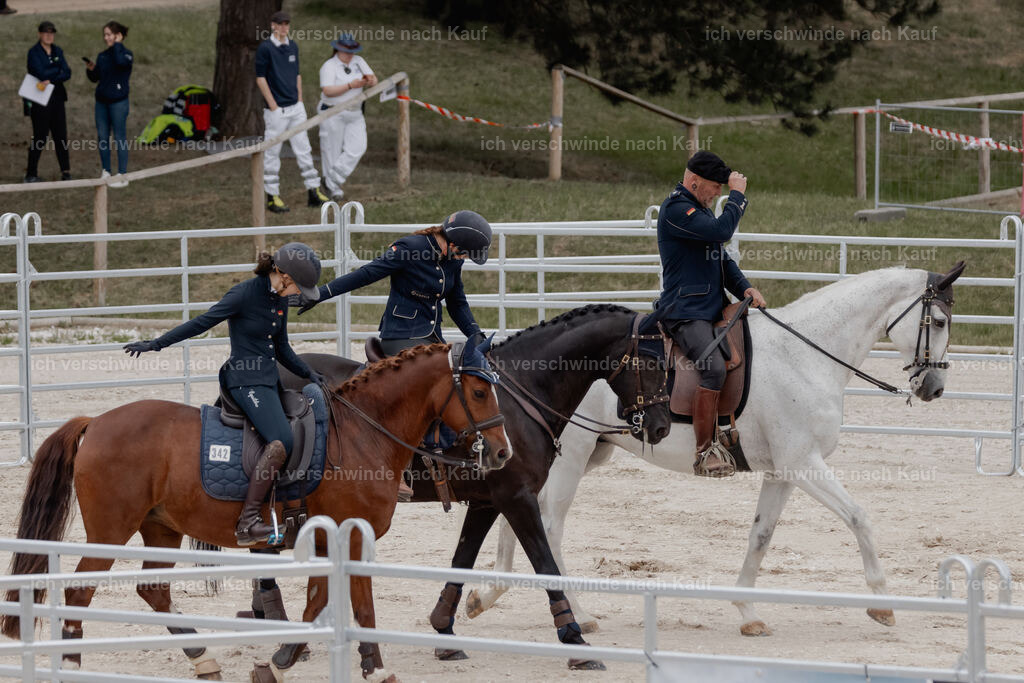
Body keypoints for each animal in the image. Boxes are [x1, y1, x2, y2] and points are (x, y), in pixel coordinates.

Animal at [2, 343, 510, 682]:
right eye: (479, 392)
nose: (503, 451)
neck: (363, 430)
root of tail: (96, 422)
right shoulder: (349, 535)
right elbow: (357, 604)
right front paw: (355, 665)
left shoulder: (329, 540)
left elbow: (322, 602)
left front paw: (295, 661)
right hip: (111, 532)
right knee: (79, 593)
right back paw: (72, 663)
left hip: (160, 529)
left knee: (153, 590)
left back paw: (203, 658)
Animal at [279, 304, 674, 670]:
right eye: (653, 362)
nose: (661, 426)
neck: (519, 398)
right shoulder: (517, 498)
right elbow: (544, 561)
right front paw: (573, 637)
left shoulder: (487, 502)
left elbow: (463, 559)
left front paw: (444, 629)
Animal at [467, 264, 965, 637]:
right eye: (939, 322)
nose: (934, 388)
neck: (805, 354)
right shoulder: (803, 464)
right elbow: (860, 518)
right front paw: (883, 604)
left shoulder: (782, 472)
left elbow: (760, 537)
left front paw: (747, 613)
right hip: (572, 457)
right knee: (549, 526)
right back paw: (580, 612)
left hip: (581, 456)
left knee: (524, 517)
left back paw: (487, 593)